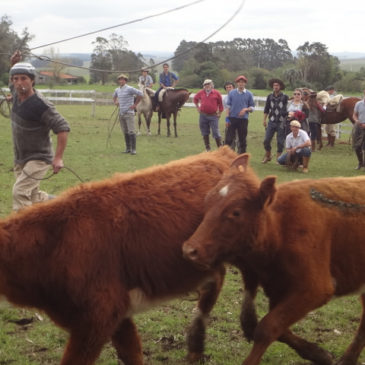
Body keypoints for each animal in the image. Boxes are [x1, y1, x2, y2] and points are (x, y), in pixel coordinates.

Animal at [183, 154, 364, 364]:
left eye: (236, 212)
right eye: (207, 201)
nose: (190, 250)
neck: (280, 227)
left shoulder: (315, 289)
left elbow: (266, 328)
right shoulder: (278, 289)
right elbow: (278, 329)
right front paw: (318, 354)